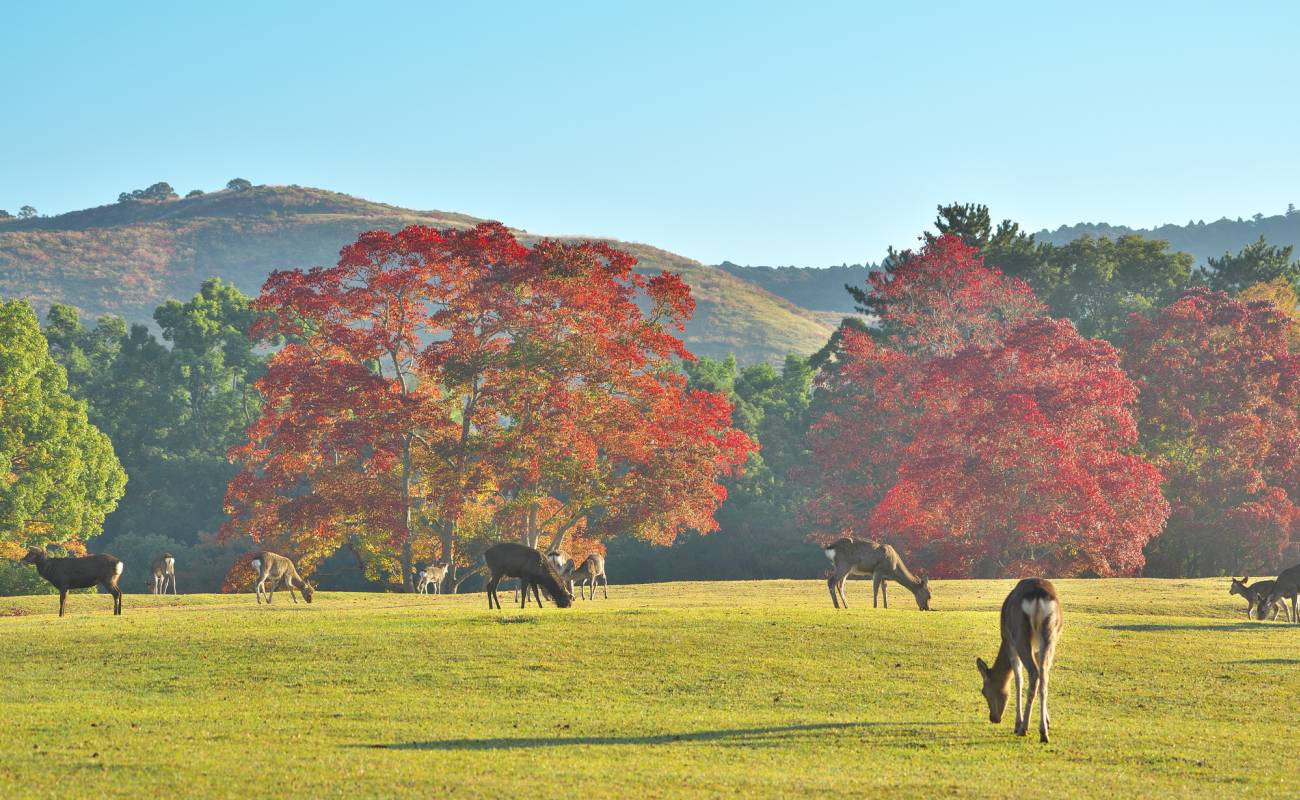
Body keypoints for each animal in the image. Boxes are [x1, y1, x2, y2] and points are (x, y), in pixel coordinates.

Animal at [977, 574, 1066, 744]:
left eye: (983, 691)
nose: (993, 718)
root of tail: (1038, 594)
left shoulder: (1009, 641)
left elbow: (1018, 680)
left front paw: (1017, 723)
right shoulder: (1037, 650)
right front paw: (1048, 721)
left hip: (1020, 635)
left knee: (1033, 673)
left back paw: (1023, 728)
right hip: (1051, 635)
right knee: (1043, 676)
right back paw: (1044, 732)